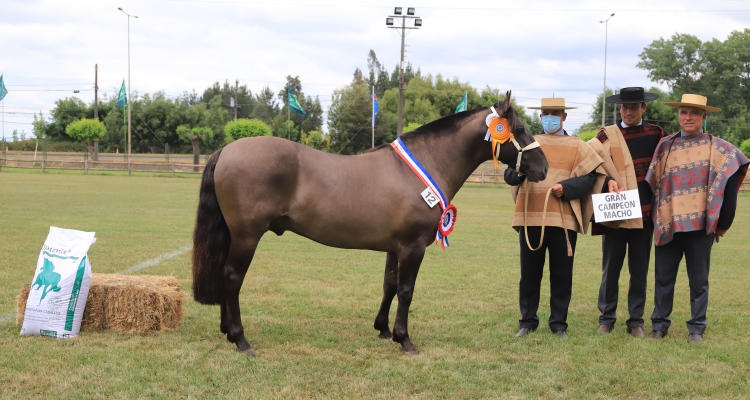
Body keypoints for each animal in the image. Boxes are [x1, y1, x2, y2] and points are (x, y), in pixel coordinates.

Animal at [191, 93, 548, 356]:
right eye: (519, 129)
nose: (543, 168)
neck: (423, 166)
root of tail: (227, 150)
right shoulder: (413, 247)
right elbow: (406, 290)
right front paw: (405, 339)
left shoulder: (396, 247)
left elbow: (389, 285)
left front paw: (384, 329)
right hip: (247, 236)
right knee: (233, 277)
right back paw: (241, 339)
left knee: (225, 275)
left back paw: (227, 331)